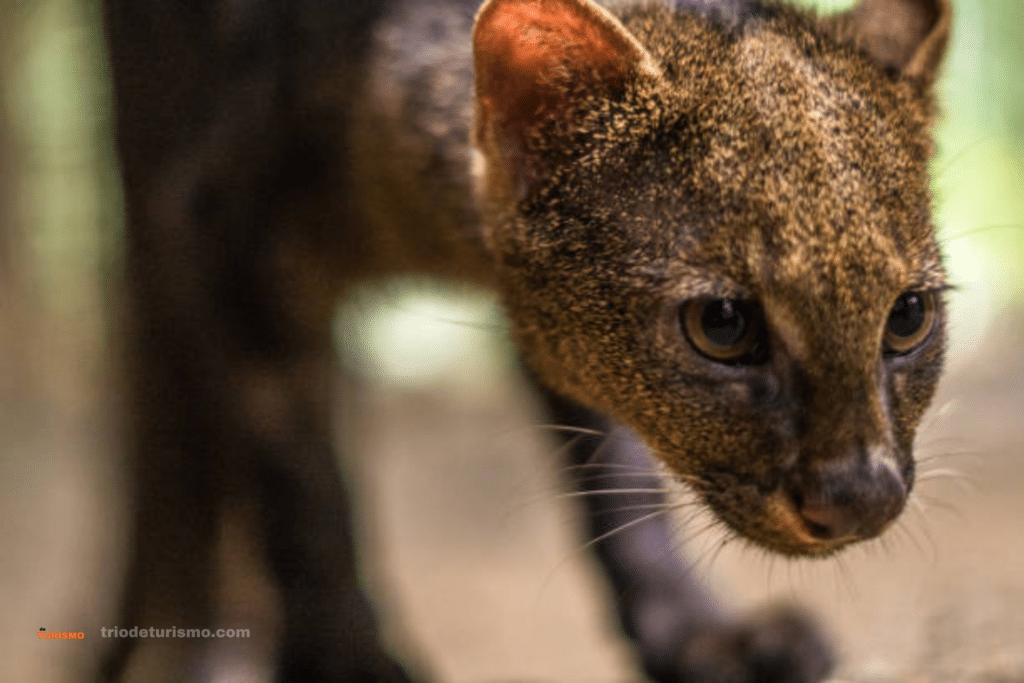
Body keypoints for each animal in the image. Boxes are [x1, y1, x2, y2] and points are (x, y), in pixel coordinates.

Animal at [99, 0, 946, 679]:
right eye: (723, 325)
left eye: (908, 314)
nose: (863, 494)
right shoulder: (214, 233)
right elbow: (303, 492)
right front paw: (349, 660)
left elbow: (616, 468)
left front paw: (695, 635)